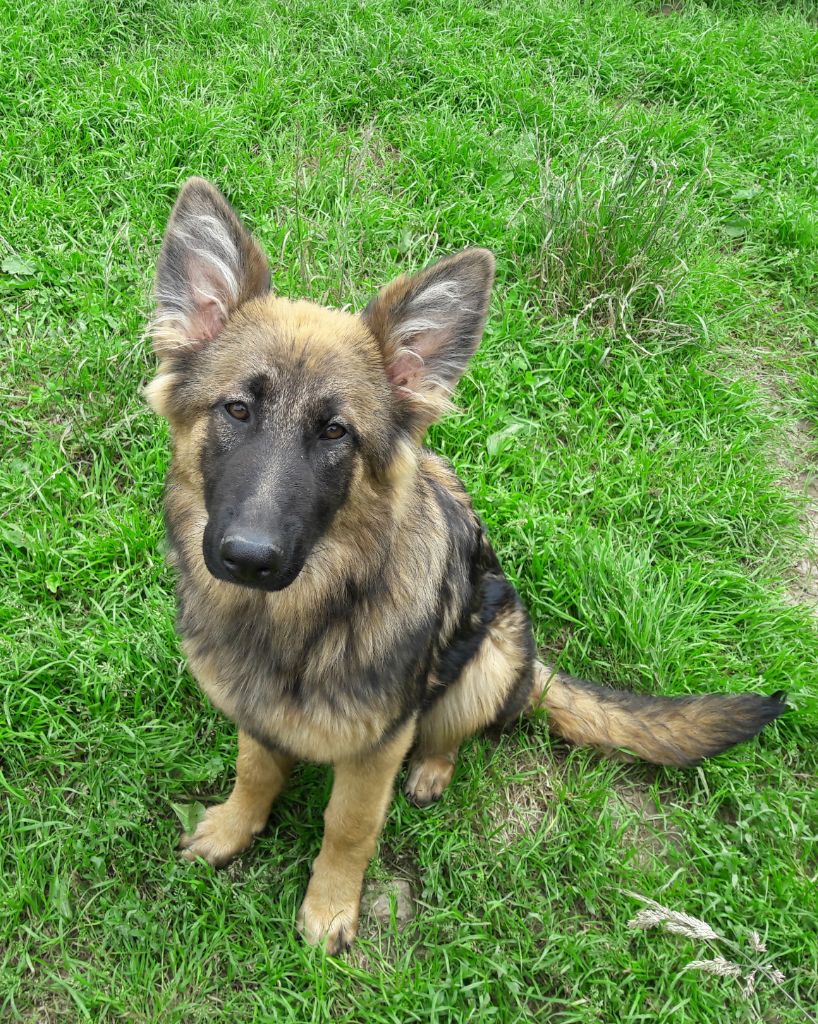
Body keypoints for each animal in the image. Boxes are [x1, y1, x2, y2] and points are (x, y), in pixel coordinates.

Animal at [145, 176, 786, 954]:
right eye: (236, 410)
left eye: (335, 433)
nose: (249, 558)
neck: (295, 620)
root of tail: (533, 665)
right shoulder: (254, 716)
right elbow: (255, 771)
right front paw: (236, 828)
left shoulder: (378, 746)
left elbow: (349, 825)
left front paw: (331, 907)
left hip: (487, 657)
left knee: (454, 729)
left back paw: (432, 769)